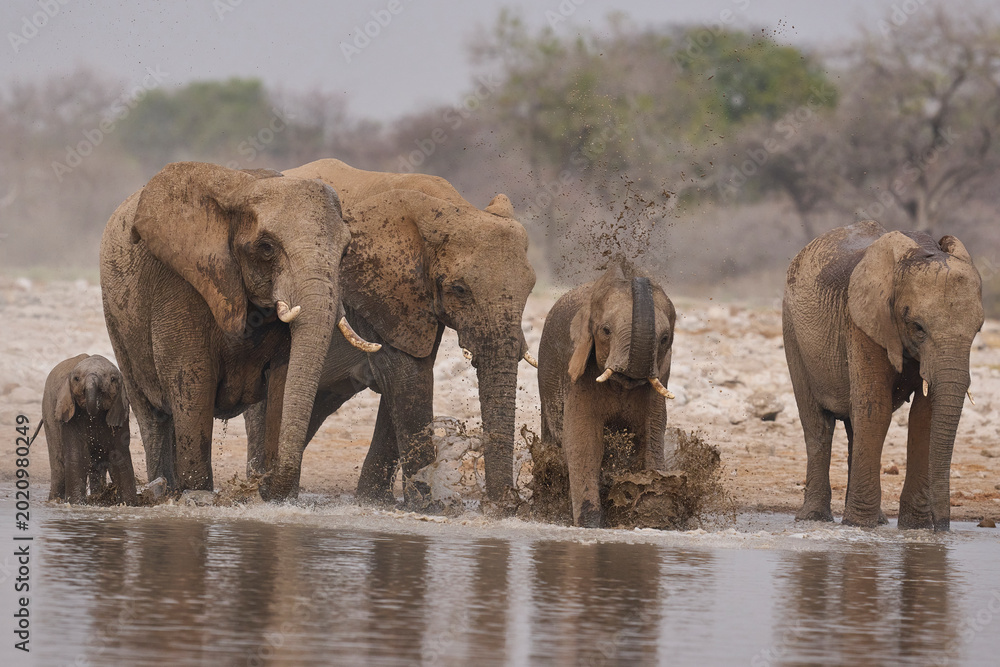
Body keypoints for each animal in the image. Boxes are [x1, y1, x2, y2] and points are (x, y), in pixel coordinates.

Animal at [42, 354, 137, 504]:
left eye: (113, 379)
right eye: (76, 379)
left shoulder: (121, 412)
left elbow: (119, 456)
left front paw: (129, 504)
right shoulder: (70, 416)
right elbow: (77, 455)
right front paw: (76, 504)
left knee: (95, 467)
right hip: (48, 413)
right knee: (59, 467)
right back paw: (54, 501)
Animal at [100, 162, 379, 500]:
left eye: (346, 252)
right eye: (266, 248)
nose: (271, 484)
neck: (245, 189)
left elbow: (283, 379)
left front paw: (273, 497)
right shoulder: (179, 281)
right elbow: (192, 378)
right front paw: (198, 495)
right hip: (117, 320)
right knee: (153, 414)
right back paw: (163, 489)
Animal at [243, 158, 537, 508]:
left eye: (531, 288)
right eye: (460, 290)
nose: (502, 504)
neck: (451, 207)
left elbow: (407, 380)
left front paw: (374, 501)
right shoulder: (375, 293)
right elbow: (407, 378)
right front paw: (428, 507)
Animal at [537, 264, 676, 527]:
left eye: (665, 339)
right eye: (606, 330)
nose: (633, 273)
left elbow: (651, 435)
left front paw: (653, 517)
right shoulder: (580, 372)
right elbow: (584, 441)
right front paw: (590, 524)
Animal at [783, 220, 984, 531]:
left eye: (978, 328)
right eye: (918, 327)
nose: (942, 528)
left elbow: (923, 416)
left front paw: (914, 528)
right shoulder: (862, 320)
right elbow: (875, 410)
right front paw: (859, 525)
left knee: (854, 426)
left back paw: (874, 520)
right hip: (792, 330)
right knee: (818, 425)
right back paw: (816, 518)